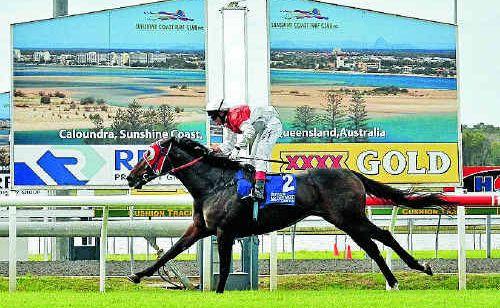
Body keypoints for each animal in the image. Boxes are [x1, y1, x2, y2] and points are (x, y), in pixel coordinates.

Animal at [126, 138, 450, 294]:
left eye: (149, 155)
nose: (131, 176)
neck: (215, 183)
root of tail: (351, 173)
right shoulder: (200, 228)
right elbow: (171, 252)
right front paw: (137, 275)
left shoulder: (224, 232)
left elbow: (227, 267)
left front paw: (217, 293)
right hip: (347, 222)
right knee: (375, 245)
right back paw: (398, 278)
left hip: (350, 218)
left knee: (383, 236)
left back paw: (413, 271)